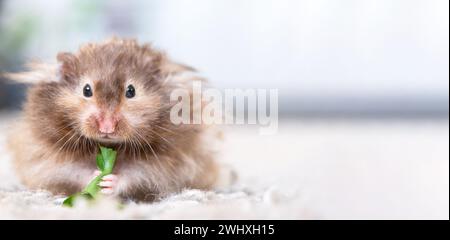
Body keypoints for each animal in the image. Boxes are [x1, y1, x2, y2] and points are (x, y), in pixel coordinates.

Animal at [6, 38, 224, 202]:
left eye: (131, 91)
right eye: (86, 90)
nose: (107, 127)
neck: (109, 146)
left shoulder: (169, 164)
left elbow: (137, 174)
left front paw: (108, 181)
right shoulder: (45, 157)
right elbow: (72, 171)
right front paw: (96, 177)